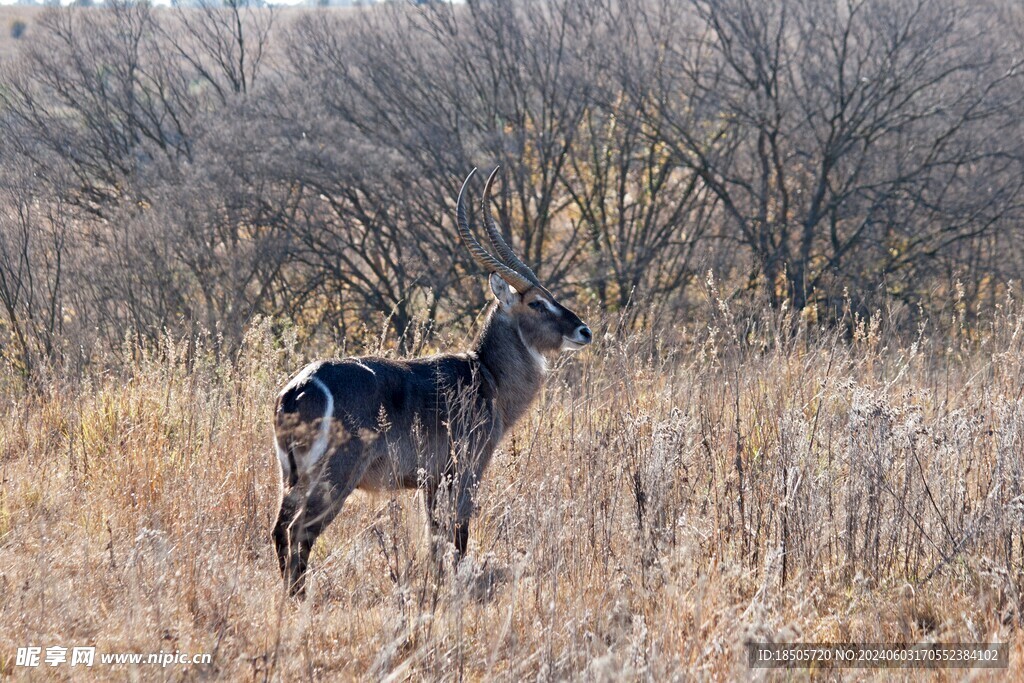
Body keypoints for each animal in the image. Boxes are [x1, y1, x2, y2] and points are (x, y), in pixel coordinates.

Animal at [272, 167, 593, 593]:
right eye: (537, 303)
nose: (584, 330)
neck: (486, 375)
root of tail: (300, 387)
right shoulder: (464, 469)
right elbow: (458, 535)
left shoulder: (431, 481)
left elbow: (436, 539)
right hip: (333, 476)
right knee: (299, 531)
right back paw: (300, 598)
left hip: (291, 476)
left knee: (279, 530)